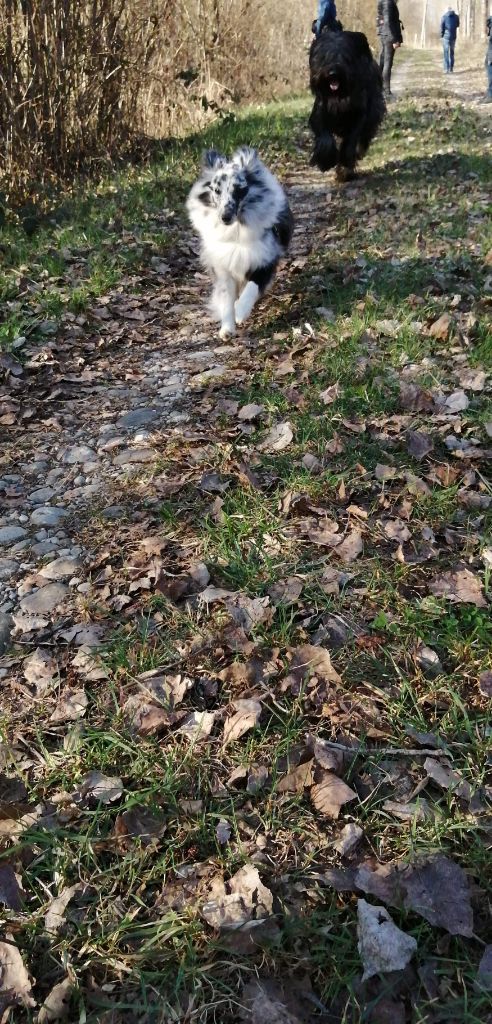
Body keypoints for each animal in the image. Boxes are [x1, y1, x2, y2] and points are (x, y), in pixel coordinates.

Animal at [309, 30, 385, 182]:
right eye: (324, 56)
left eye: (345, 57)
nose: (333, 73)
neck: (339, 97)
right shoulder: (320, 112)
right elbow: (325, 138)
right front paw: (325, 161)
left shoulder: (359, 115)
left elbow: (351, 141)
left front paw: (345, 168)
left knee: (363, 138)